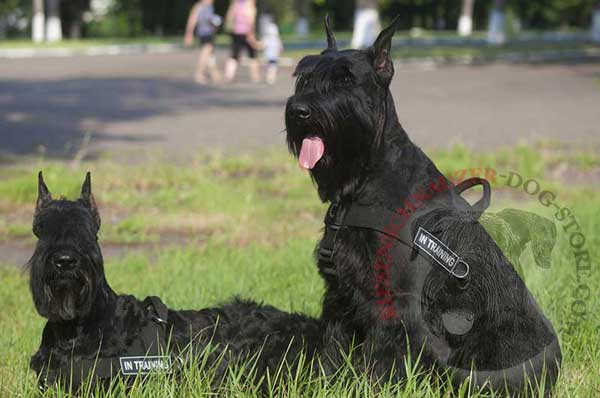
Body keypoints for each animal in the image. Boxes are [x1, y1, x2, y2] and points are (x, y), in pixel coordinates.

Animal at [286, 17, 564, 396]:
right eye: (305, 78)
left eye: (345, 79)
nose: (300, 110)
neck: (366, 179)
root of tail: (555, 366)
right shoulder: (339, 293)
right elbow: (331, 348)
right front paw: (321, 383)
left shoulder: (393, 303)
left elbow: (381, 360)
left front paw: (373, 386)